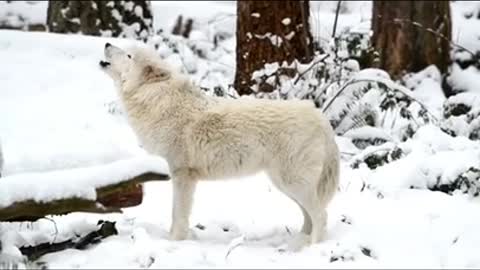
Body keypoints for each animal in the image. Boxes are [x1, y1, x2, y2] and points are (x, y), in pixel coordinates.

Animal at [100, 42, 342, 249]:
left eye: (129, 55)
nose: (107, 44)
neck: (156, 98)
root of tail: (320, 116)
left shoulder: (182, 175)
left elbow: (178, 214)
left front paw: (174, 241)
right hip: (286, 184)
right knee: (309, 215)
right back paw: (300, 242)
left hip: (292, 183)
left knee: (321, 215)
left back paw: (311, 248)